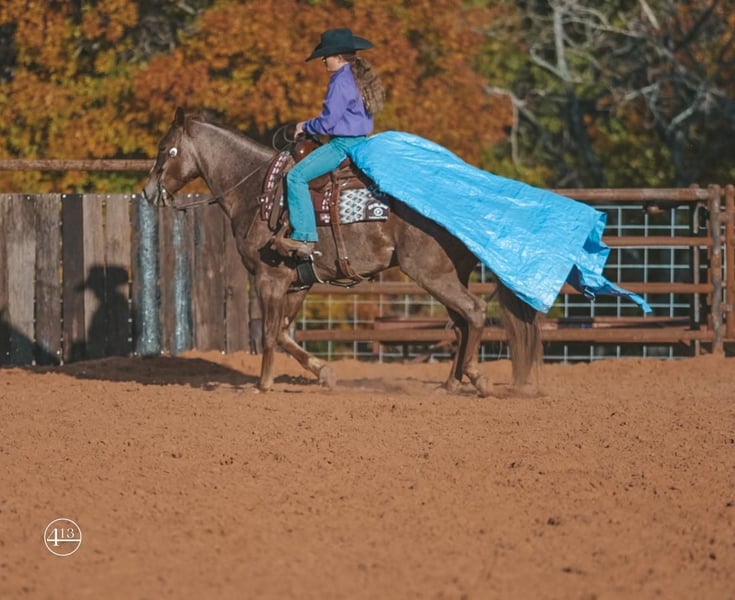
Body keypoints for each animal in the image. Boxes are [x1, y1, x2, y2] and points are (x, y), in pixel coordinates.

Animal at [142, 107, 542, 396]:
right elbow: (284, 334)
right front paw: (325, 373)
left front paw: (263, 385)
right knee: (460, 324)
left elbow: (270, 334)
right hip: (450, 274)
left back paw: (475, 377)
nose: (147, 191)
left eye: (164, 149)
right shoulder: (297, 283)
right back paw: (450, 383)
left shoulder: (270, 278)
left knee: (473, 313)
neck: (256, 190)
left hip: (432, 273)